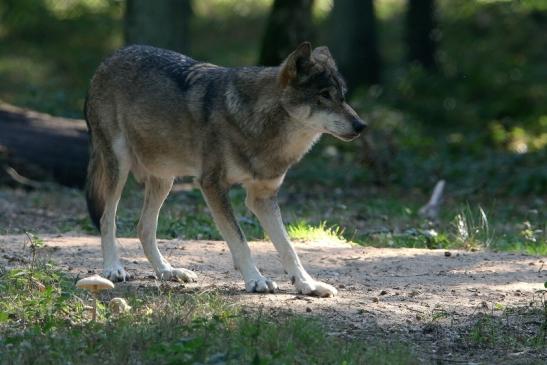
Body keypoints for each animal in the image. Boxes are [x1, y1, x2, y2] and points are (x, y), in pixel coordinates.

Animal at [85, 41, 366, 296]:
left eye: (343, 95)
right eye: (324, 95)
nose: (361, 125)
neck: (261, 126)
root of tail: (108, 59)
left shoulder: (263, 197)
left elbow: (288, 248)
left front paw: (308, 285)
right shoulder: (212, 185)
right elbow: (240, 241)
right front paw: (256, 280)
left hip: (165, 180)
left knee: (144, 228)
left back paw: (168, 272)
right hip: (119, 167)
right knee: (107, 219)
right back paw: (113, 268)